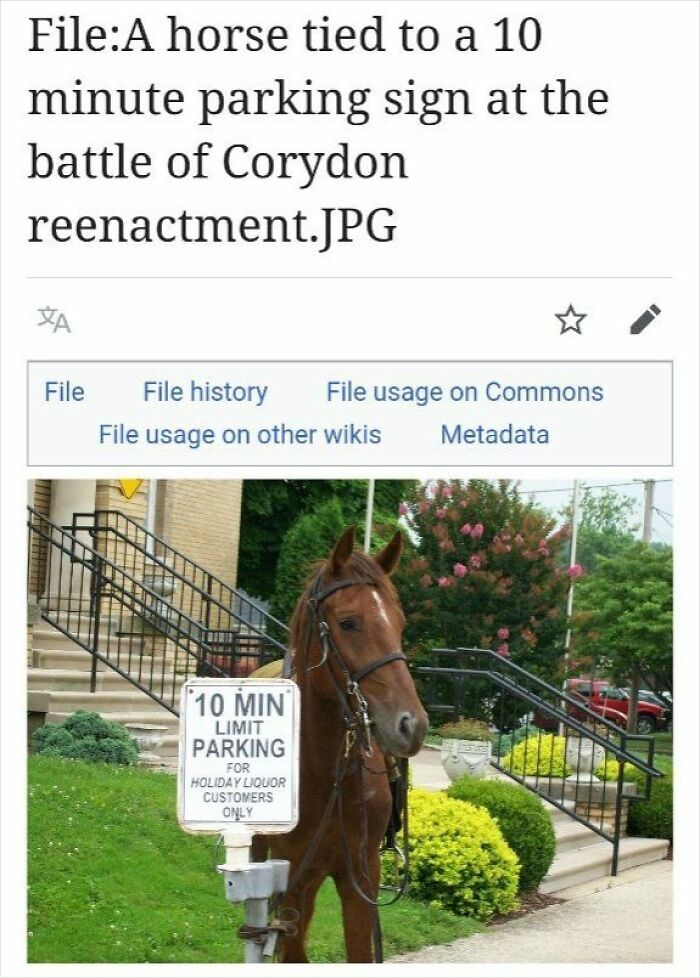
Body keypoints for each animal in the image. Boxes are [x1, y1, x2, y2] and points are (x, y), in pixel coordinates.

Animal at [253, 526, 428, 963]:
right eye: (348, 622)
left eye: (399, 623)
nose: (412, 725)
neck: (323, 772)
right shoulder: (292, 876)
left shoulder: (360, 877)